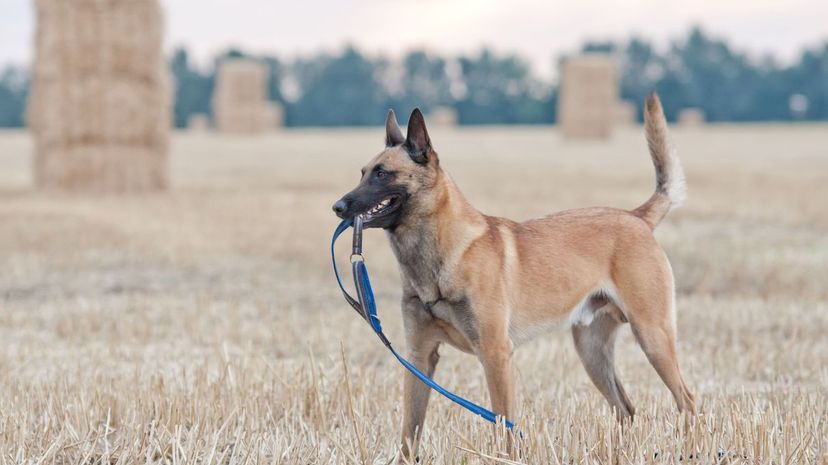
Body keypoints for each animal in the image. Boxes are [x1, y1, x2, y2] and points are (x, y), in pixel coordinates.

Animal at [334, 92, 696, 458]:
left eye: (382, 174)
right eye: (363, 173)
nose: (338, 207)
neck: (443, 255)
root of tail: (635, 217)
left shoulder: (496, 354)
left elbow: (503, 424)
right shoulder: (419, 357)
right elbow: (411, 429)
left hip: (652, 336)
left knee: (687, 401)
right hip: (592, 351)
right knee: (626, 409)